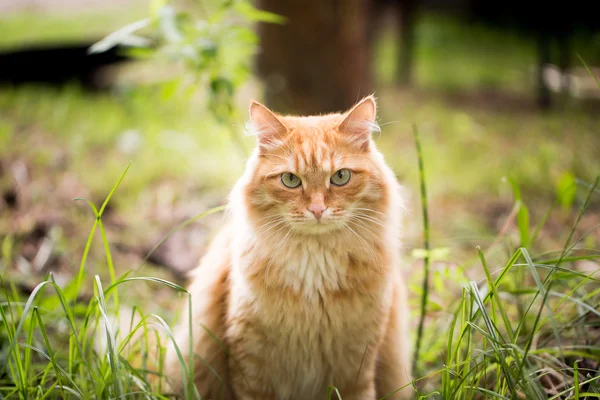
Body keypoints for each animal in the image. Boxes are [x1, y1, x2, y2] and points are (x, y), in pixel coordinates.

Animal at [164, 95, 412, 398]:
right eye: (291, 180)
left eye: (340, 177)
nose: (317, 210)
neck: (316, 270)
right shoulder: (251, 361)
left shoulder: (357, 364)